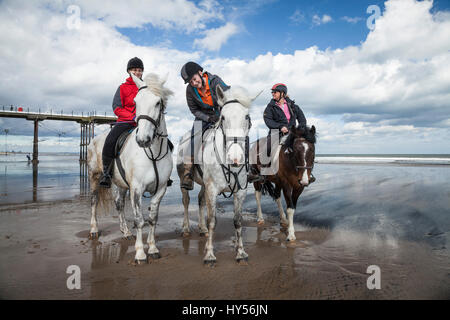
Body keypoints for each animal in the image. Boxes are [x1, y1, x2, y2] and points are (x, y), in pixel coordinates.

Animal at [87, 72, 173, 262]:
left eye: (158, 102)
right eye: (135, 102)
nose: (143, 140)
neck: (153, 152)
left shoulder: (161, 189)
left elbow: (152, 218)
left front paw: (153, 248)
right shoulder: (137, 189)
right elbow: (139, 220)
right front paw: (140, 253)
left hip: (121, 184)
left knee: (119, 204)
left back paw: (125, 232)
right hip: (95, 176)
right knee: (94, 201)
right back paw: (94, 230)